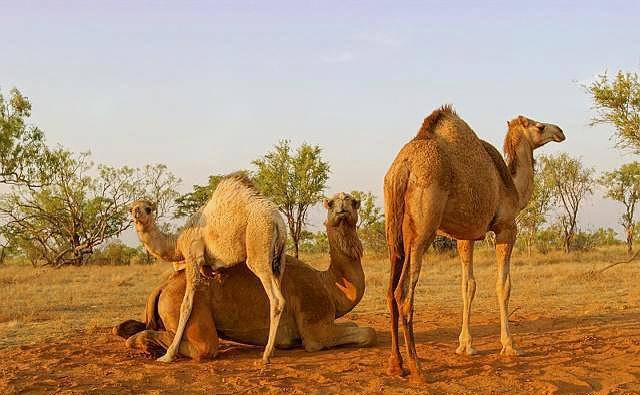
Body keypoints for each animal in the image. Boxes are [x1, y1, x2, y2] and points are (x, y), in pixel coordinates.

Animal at [115, 193, 378, 360]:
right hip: (182, 306)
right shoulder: (316, 326)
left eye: (354, 202)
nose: (343, 208)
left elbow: (357, 325)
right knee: (204, 347)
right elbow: (367, 333)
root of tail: (162, 288)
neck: (328, 285)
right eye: (330, 203)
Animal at [131, 173, 286, 366]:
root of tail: (278, 221)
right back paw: (272, 350)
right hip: (279, 260)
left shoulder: (192, 257)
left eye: (149, 208)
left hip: (258, 243)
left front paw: (168, 355)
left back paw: (266, 355)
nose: (136, 212)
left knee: (276, 299)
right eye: (130, 208)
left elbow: (186, 305)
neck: (177, 243)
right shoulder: (208, 268)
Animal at [382, 106, 564, 384]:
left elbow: (468, 285)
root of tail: (404, 167)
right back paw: (418, 369)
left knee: (390, 291)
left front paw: (465, 346)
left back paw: (396, 365)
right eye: (540, 126)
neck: (512, 187)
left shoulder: (465, 236)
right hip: (422, 229)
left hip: (393, 229)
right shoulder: (506, 228)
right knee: (402, 293)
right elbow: (503, 285)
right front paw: (509, 346)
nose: (560, 131)